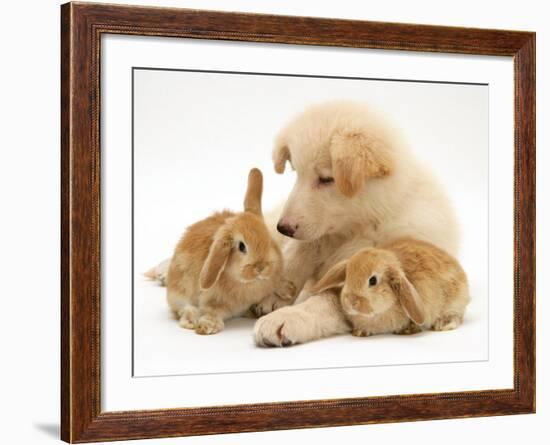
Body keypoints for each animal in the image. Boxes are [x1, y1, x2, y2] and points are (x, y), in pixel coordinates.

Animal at [167, 168, 288, 334]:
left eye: (269, 238)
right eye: (241, 246)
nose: (261, 267)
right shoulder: (212, 301)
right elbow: (212, 311)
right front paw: (207, 326)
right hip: (179, 291)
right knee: (184, 309)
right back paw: (191, 321)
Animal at [312, 236, 472, 336]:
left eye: (372, 280)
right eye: (347, 276)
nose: (351, 302)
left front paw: (407, 330)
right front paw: (360, 332)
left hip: (455, 301)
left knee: (457, 316)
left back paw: (442, 325)